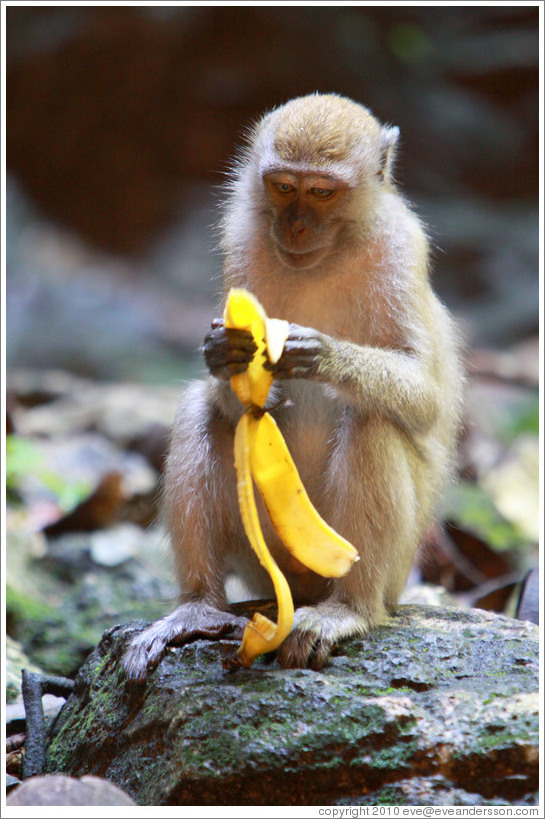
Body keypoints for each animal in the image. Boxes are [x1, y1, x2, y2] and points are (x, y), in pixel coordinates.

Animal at [123, 93, 464, 680]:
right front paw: (224, 357)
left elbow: (423, 398)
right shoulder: (241, 238)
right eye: (283, 186)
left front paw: (324, 355)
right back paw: (198, 607)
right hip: (264, 563)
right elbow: (226, 392)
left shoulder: (400, 249)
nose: (297, 227)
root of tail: (300, 591)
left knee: (372, 419)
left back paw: (347, 609)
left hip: (395, 567)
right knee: (201, 412)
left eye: (322, 192)